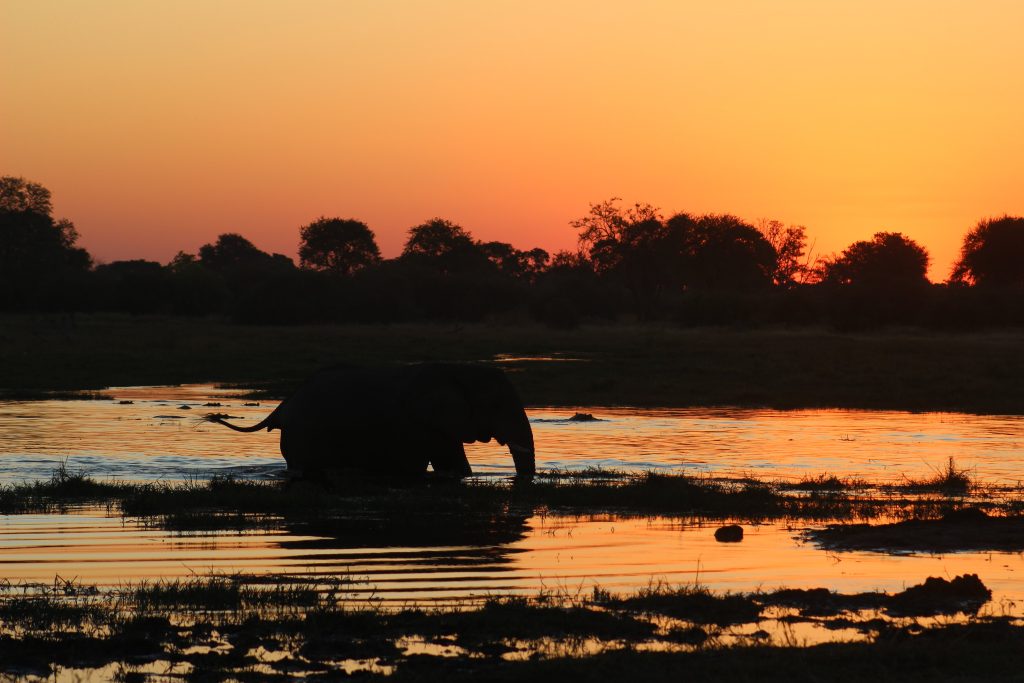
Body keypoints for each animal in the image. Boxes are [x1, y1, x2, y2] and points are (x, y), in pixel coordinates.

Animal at [206, 363, 535, 479]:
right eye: (496, 405)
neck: (458, 370)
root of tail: (283, 406)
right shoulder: (426, 425)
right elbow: (454, 466)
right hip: (303, 435)